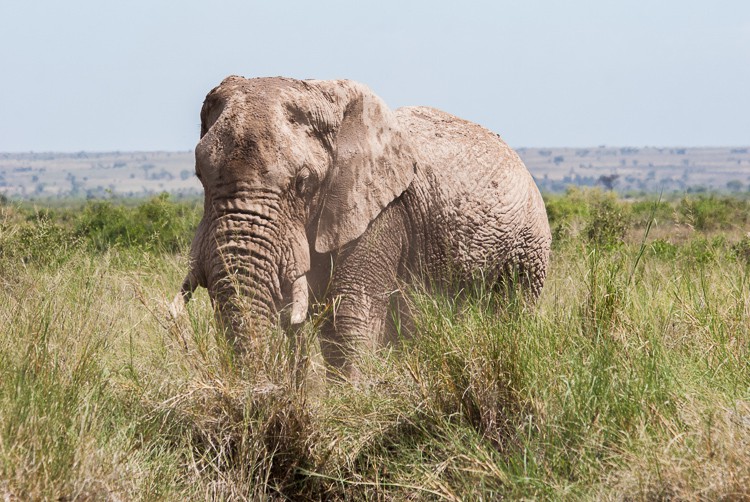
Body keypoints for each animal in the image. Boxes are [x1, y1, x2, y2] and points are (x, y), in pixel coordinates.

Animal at [175, 76, 552, 378]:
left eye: (304, 182)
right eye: (199, 175)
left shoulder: (382, 211)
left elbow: (350, 312)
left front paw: (352, 401)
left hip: (528, 246)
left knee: (515, 309)